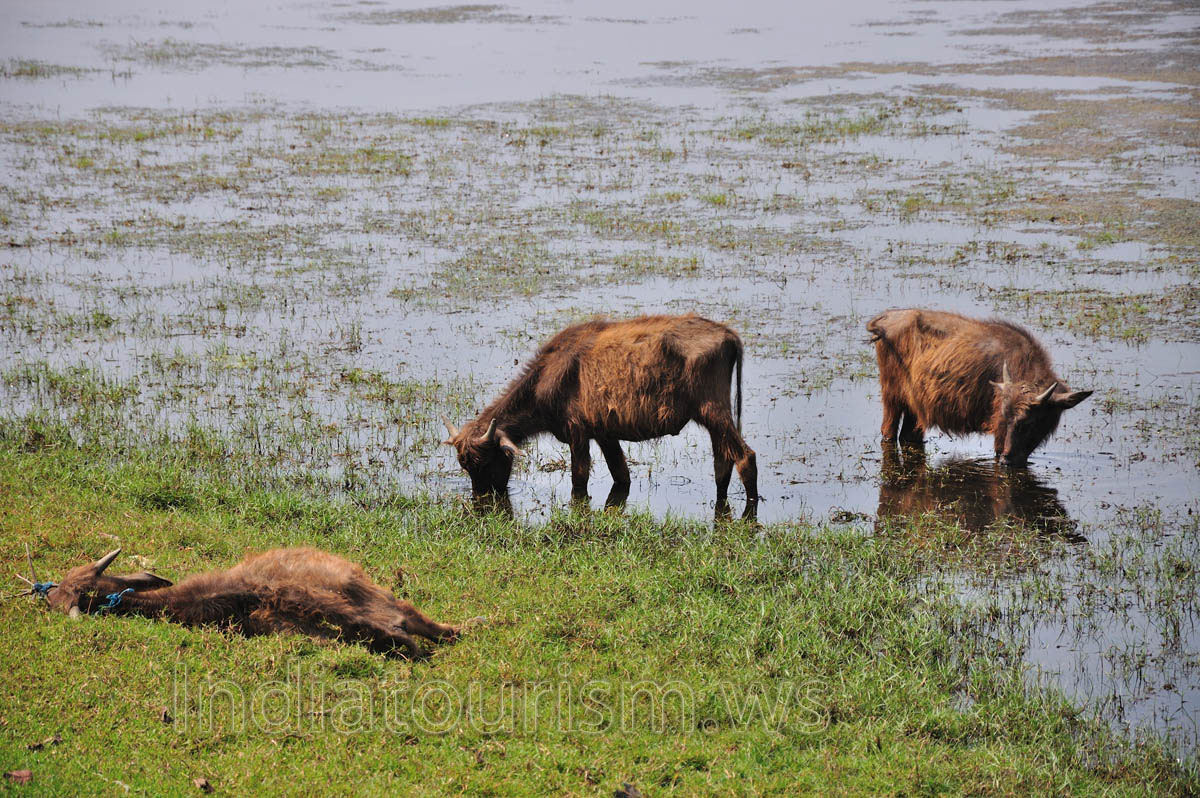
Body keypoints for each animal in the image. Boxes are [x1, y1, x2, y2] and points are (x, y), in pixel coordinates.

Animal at [442, 314, 758, 515]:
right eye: (465, 465)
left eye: (486, 462)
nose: (482, 499)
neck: (547, 377)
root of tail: (727, 334)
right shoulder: (605, 435)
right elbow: (621, 476)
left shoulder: (577, 434)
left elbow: (579, 481)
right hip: (715, 419)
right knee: (722, 463)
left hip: (713, 411)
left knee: (745, 457)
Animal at [866, 308, 1092, 466]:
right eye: (1006, 417)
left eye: (1031, 422)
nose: (1008, 460)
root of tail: (883, 321)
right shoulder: (999, 433)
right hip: (892, 398)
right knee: (888, 432)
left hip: (915, 407)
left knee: (908, 436)